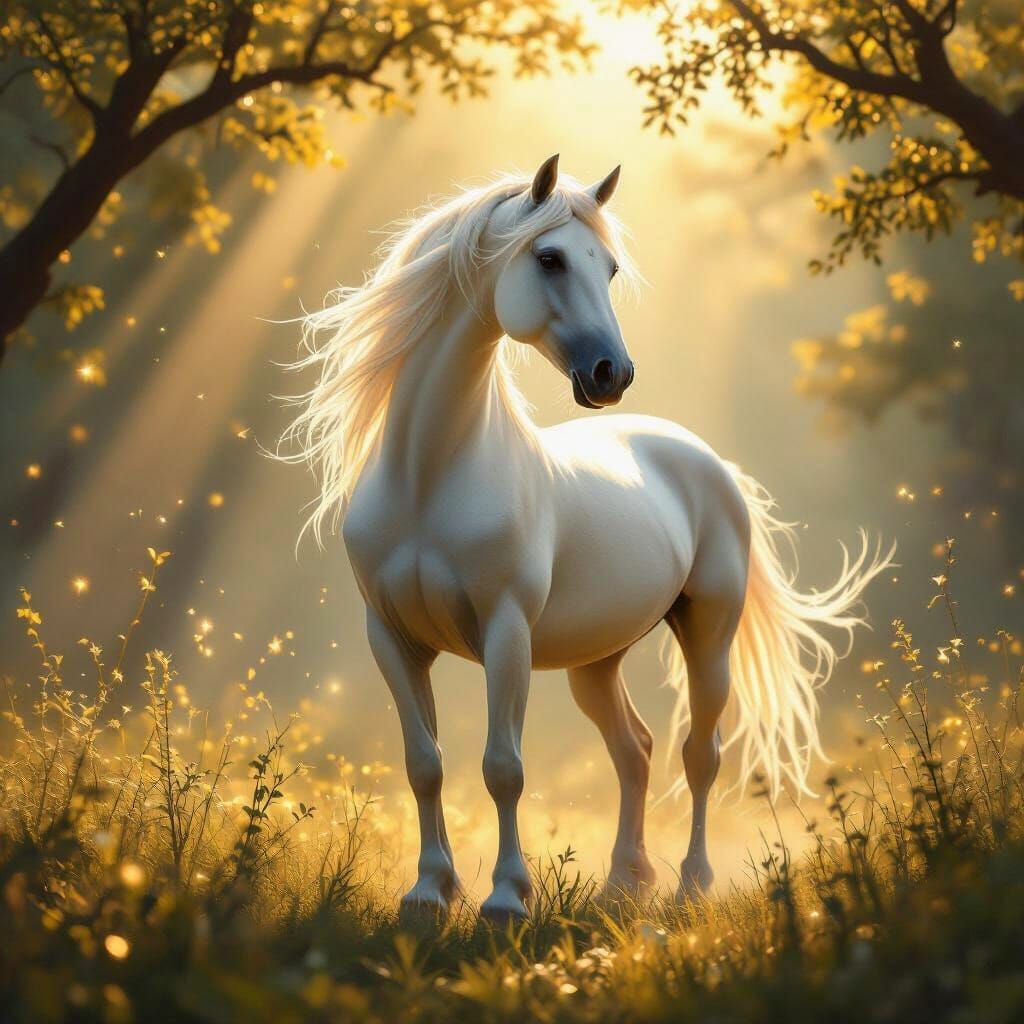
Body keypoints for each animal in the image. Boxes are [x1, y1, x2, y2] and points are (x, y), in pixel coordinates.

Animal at [283, 155, 893, 922]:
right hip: (596, 663)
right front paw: (429, 893)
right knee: (634, 750)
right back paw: (622, 882)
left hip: (709, 634)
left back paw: (690, 885)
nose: (613, 375)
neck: (429, 477)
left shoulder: (505, 633)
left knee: (700, 754)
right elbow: (424, 765)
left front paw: (505, 901)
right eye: (549, 258)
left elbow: (503, 768)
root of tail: (707, 461)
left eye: (608, 267)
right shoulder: (392, 639)